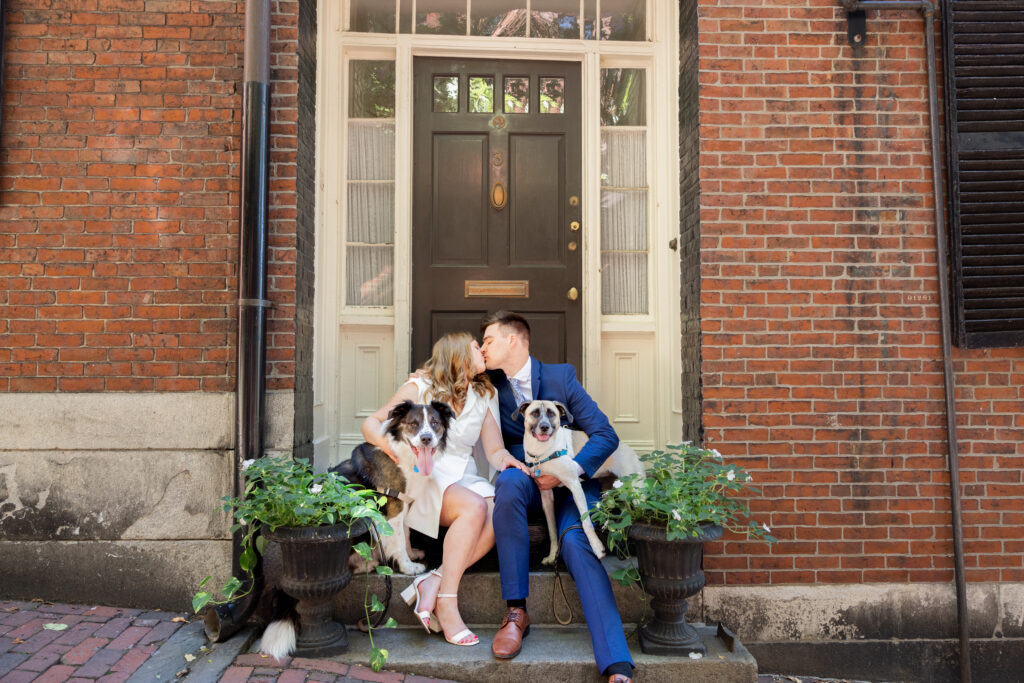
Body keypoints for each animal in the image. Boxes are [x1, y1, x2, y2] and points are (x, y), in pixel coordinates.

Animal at [256, 397, 452, 659]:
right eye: (413, 424)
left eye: (435, 423)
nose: (427, 438)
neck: (403, 453)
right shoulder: (393, 506)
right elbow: (399, 540)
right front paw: (408, 567)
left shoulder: (403, 503)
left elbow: (407, 534)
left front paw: (412, 555)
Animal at [516, 397, 643, 565]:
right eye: (535, 413)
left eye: (551, 413)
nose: (544, 427)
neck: (542, 452)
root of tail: (632, 451)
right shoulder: (546, 496)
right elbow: (552, 530)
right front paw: (552, 555)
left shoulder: (574, 485)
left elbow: (586, 521)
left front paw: (597, 548)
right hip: (615, 494)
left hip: (636, 494)